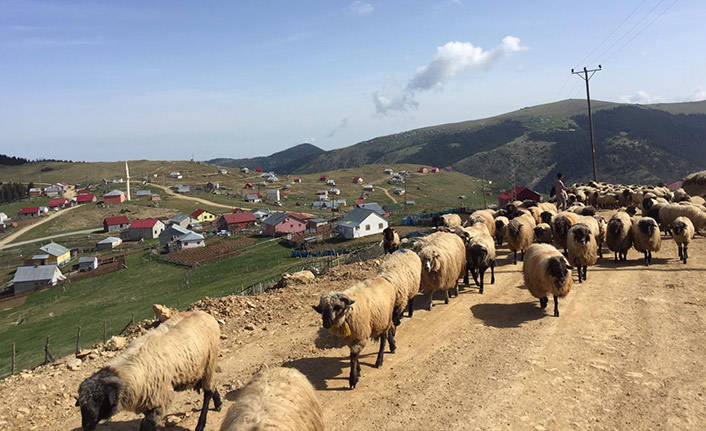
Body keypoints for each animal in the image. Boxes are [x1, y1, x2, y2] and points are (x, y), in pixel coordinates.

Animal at [76, 310, 220, 431]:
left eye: (100, 399)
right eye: (82, 402)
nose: (86, 426)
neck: (127, 371)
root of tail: (204, 313)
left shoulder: (158, 402)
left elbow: (146, 427)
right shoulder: (148, 402)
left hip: (209, 363)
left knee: (208, 392)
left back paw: (201, 424)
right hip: (196, 370)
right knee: (212, 387)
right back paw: (218, 404)